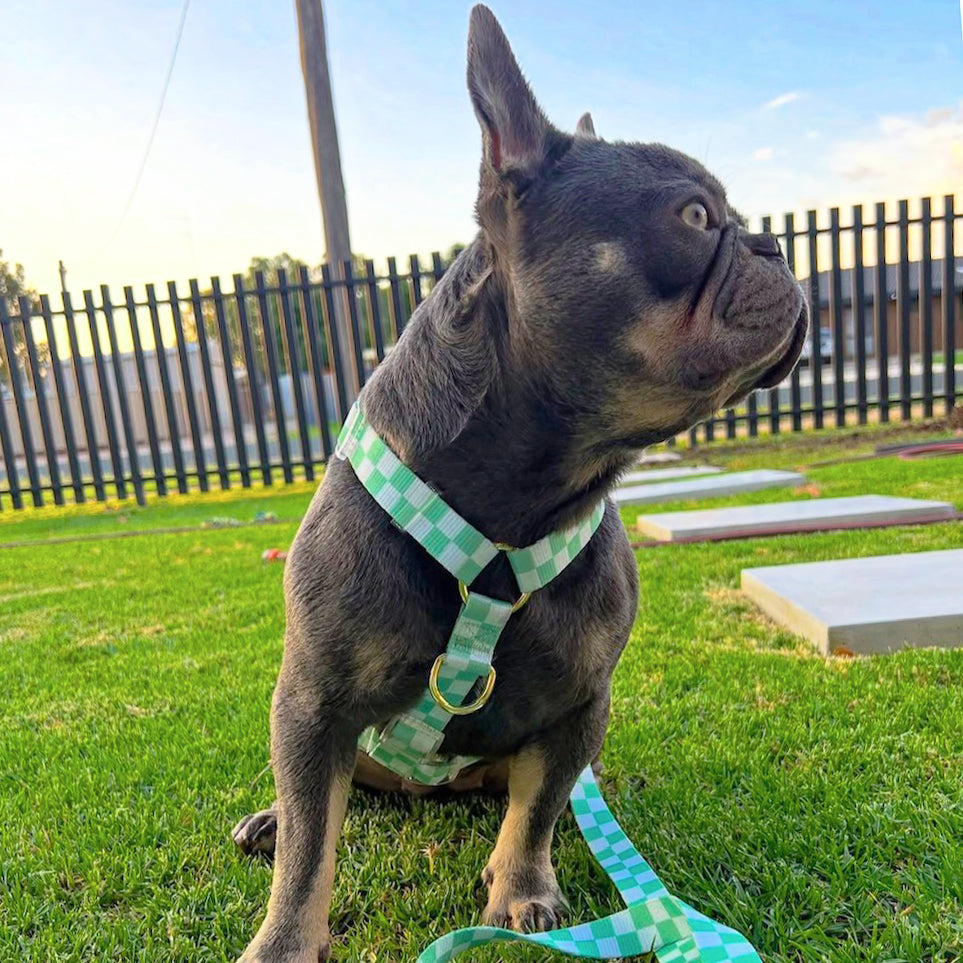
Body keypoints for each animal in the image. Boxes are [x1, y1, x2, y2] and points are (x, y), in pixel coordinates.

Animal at [232, 5, 804, 956]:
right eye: (694, 215)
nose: (776, 245)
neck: (519, 507)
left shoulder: (578, 706)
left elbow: (535, 809)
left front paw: (521, 891)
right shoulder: (312, 703)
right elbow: (312, 846)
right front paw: (283, 938)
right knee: (315, 802)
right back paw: (270, 817)